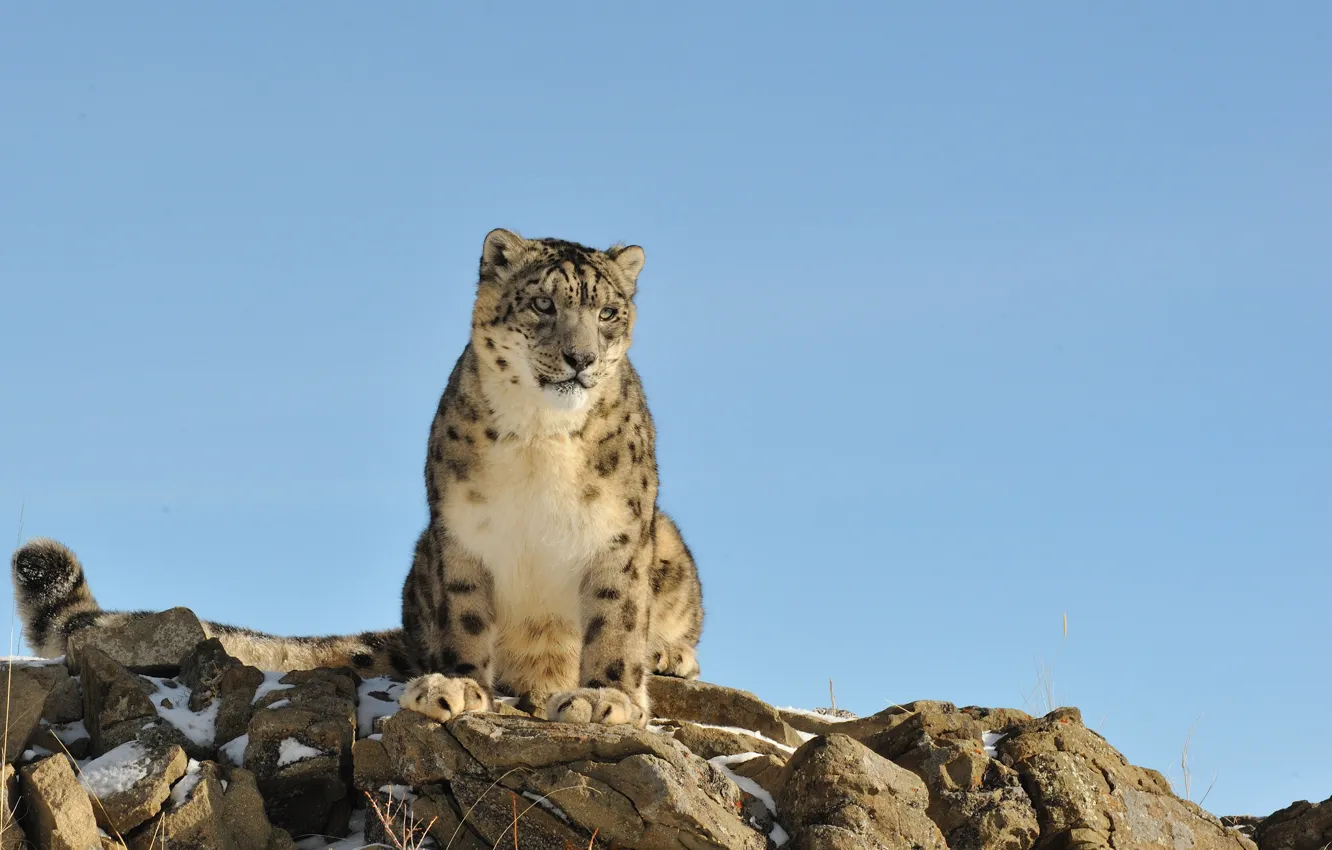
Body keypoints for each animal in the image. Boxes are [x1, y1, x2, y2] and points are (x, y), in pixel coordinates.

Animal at [10, 228, 704, 728]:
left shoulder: (619, 534)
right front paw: (457, 687)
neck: (540, 434)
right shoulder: (460, 533)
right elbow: (466, 621)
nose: (580, 358)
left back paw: (667, 655)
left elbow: (615, 621)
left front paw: (605, 698)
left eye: (609, 312)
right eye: (542, 303)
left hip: (667, 543)